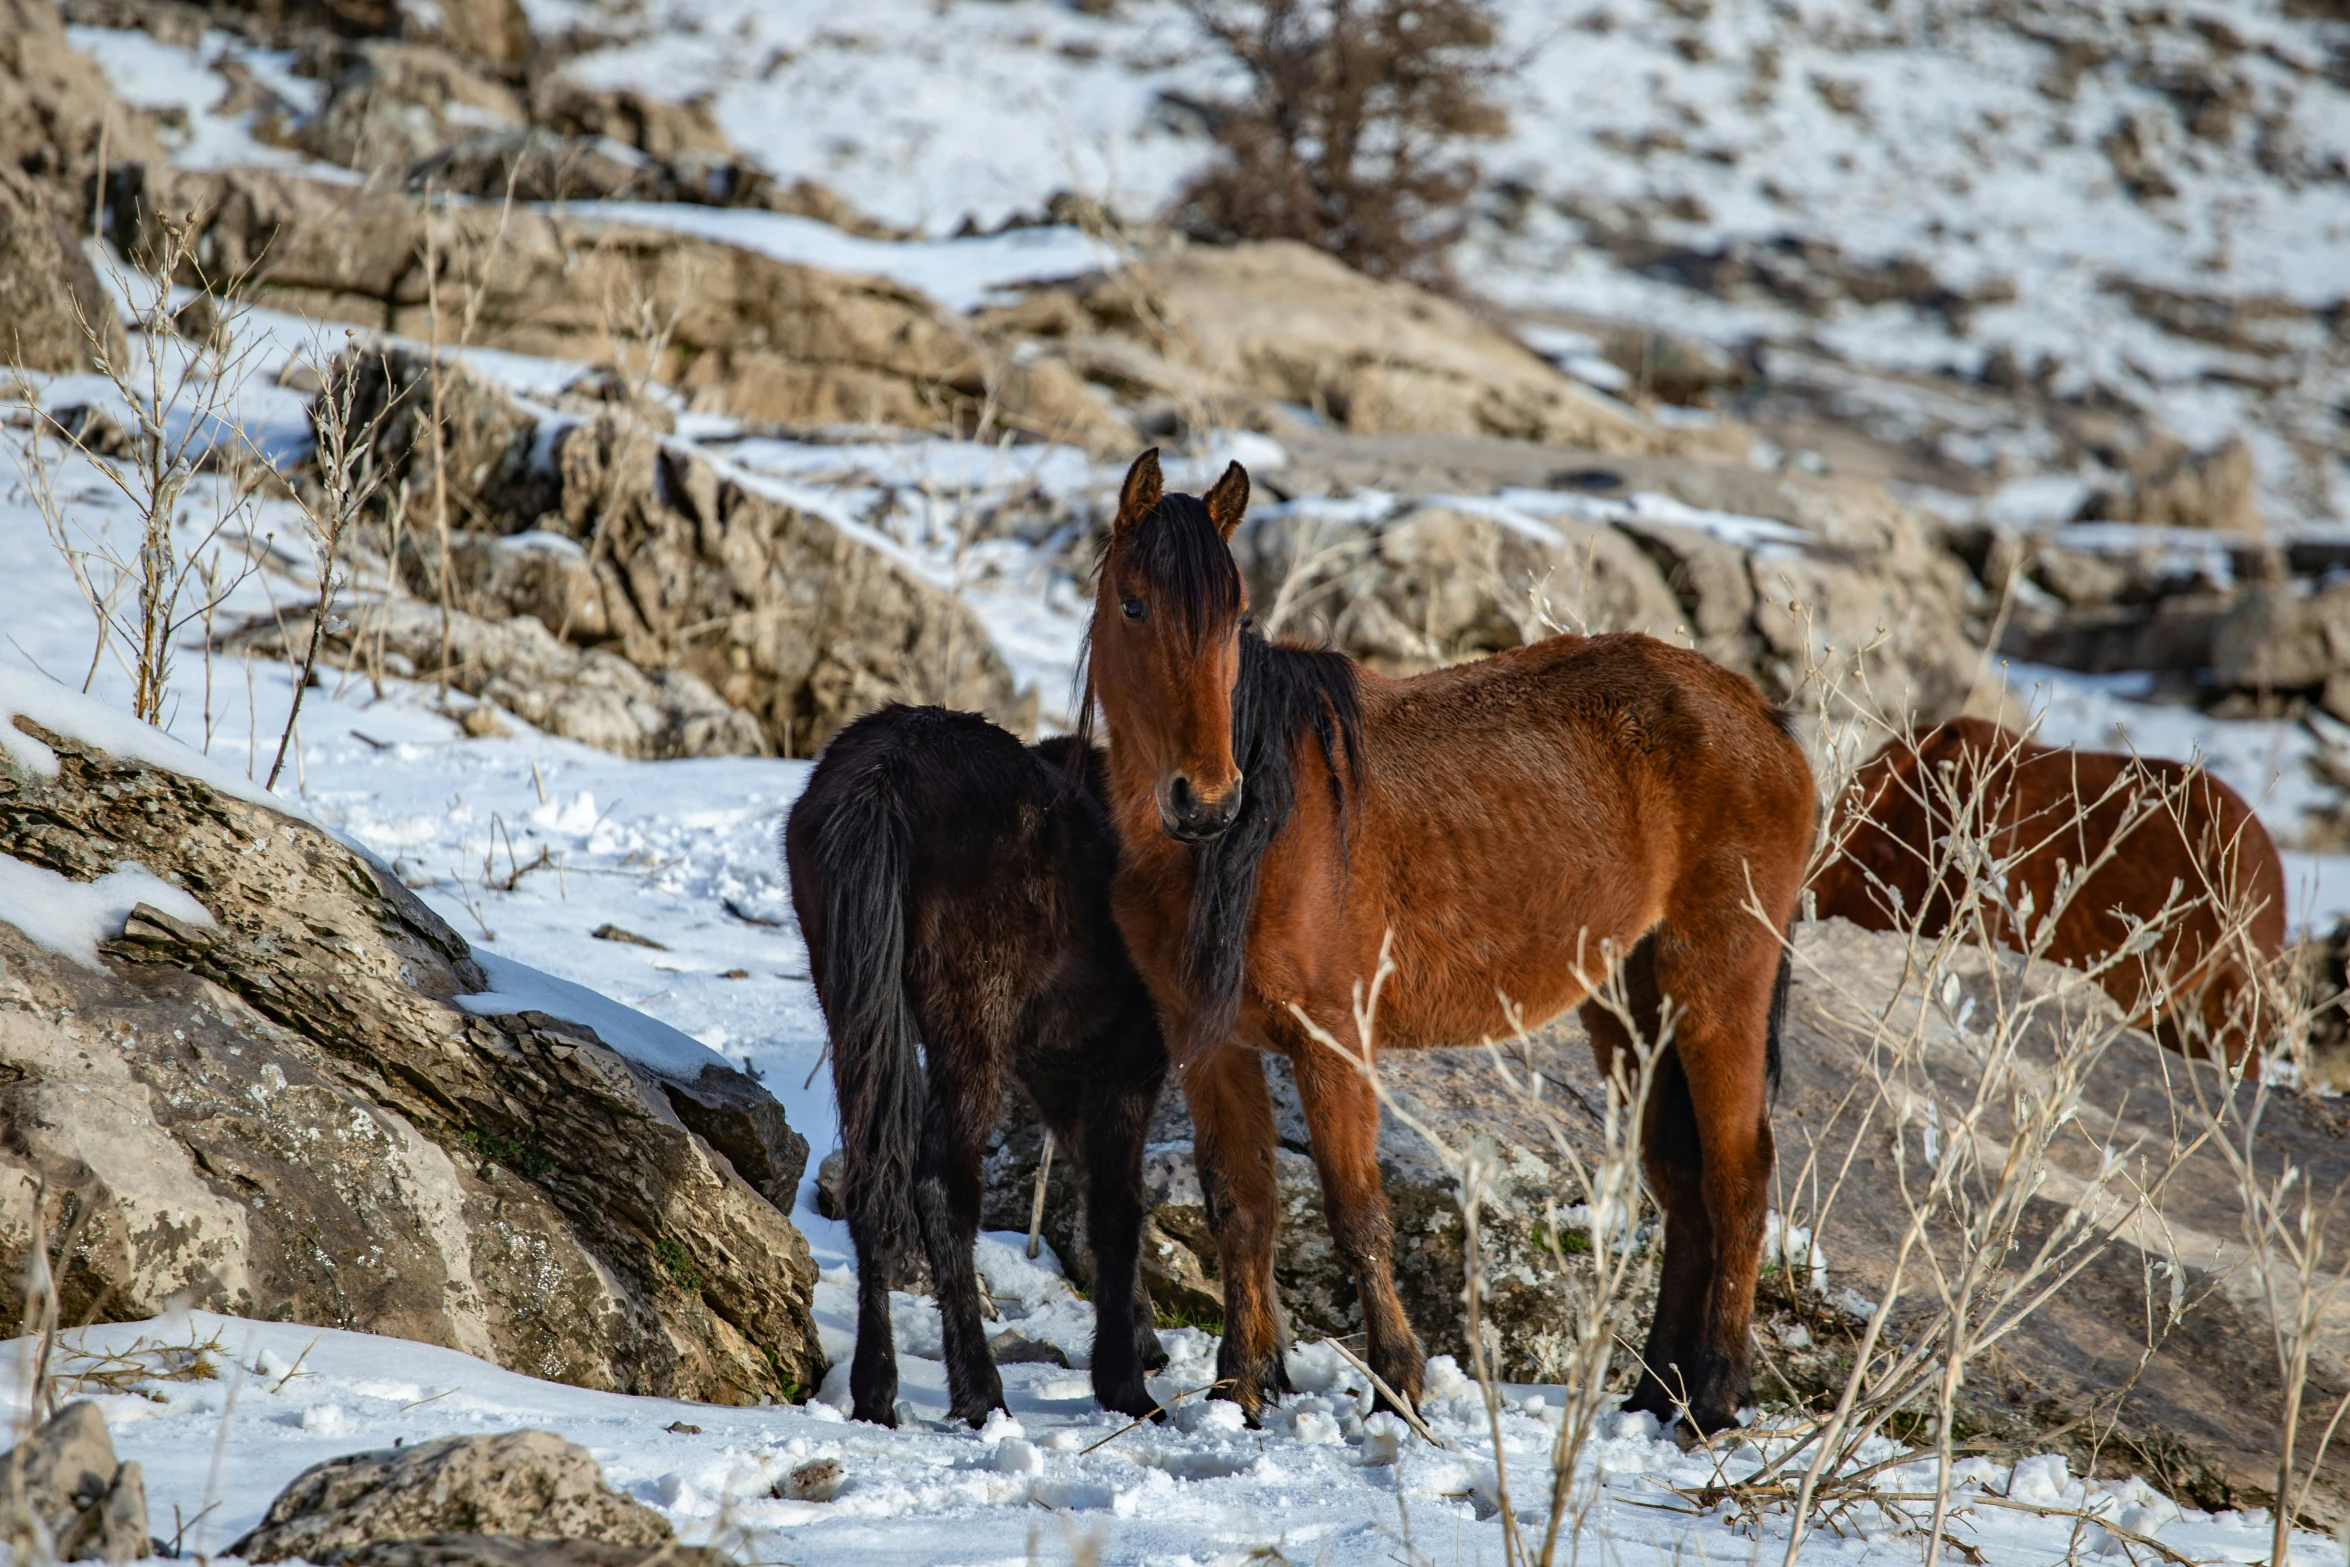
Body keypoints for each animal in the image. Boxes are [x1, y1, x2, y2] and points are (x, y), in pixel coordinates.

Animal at [784, 709, 1170, 1437]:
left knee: (872, 1179)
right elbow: (1118, 1207)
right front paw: (1126, 1383)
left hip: (852, 1003)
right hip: (971, 1024)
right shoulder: (1128, 1066)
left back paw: (876, 1392)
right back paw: (980, 1393)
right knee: (941, 1186)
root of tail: (886, 773)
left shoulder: (1059, 1078)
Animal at [1081, 451, 1814, 1437]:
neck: (1241, 845)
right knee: (1682, 1185)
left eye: (1234, 619)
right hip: (1631, 1008)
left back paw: (1717, 1396)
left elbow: (1356, 1211)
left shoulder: (1332, 1039)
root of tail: (1763, 716)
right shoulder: (1212, 1044)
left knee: (1739, 1180)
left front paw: (1397, 1381)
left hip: (1717, 990)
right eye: (1133, 605)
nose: (1206, 798)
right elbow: (1241, 1205)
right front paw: (1242, 1384)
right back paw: (1652, 1388)